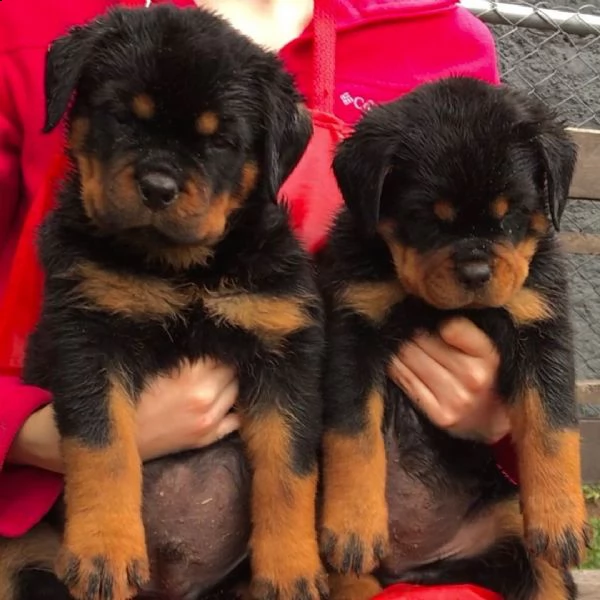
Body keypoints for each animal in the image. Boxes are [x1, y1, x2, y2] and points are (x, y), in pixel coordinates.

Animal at [19, 4, 328, 600]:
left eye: (220, 140)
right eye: (123, 115)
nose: (159, 186)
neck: (183, 269)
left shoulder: (284, 351)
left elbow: (289, 471)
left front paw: (291, 570)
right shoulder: (87, 334)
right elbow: (104, 448)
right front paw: (104, 552)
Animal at [316, 76, 588, 600]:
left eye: (511, 215)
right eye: (426, 218)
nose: (476, 272)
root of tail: (416, 567)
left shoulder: (540, 325)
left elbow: (551, 424)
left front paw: (562, 517)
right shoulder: (352, 329)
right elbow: (354, 435)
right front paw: (353, 524)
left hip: (510, 528)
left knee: (544, 573)